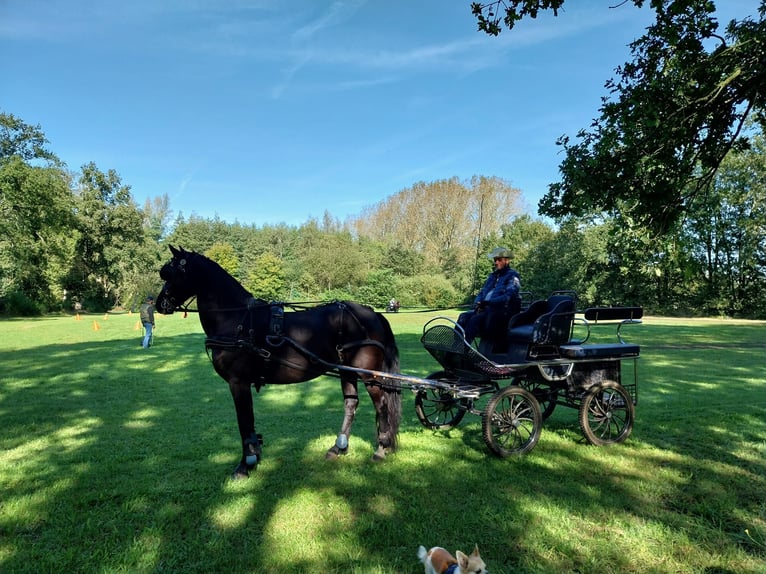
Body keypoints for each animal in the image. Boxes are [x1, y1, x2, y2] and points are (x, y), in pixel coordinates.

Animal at [158, 245, 404, 480]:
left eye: (172, 273)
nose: (160, 303)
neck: (237, 319)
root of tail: (372, 313)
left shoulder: (238, 382)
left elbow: (244, 421)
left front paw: (245, 465)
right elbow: (248, 422)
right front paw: (254, 456)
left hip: (368, 374)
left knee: (382, 404)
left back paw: (381, 449)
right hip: (347, 371)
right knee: (351, 404)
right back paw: (338, 448)